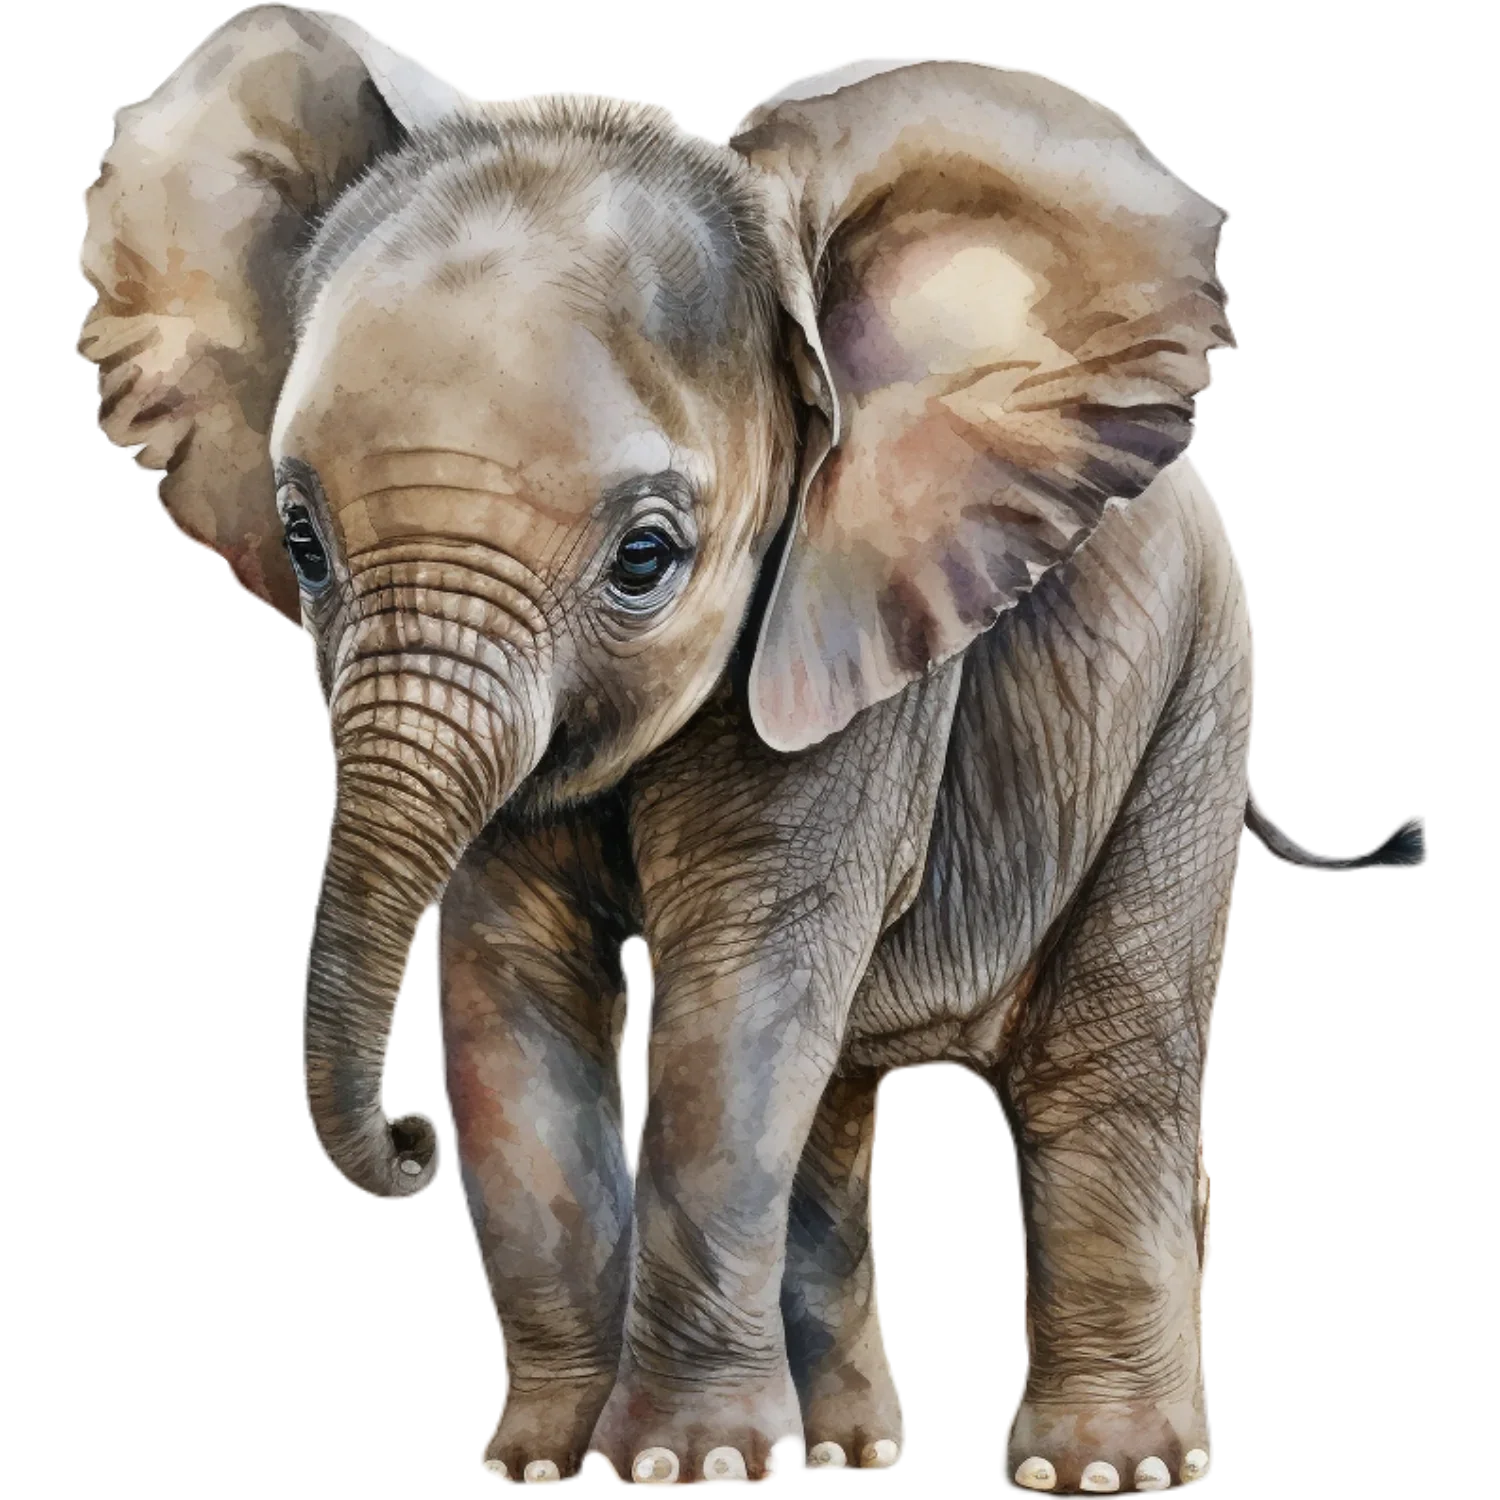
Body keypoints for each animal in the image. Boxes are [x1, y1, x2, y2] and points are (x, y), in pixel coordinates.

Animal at [75, 12, 1431, 1494]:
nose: (408, 1141)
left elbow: (741, 984)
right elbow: (508, 986)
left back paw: (1100, 1473)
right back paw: (845, 1453)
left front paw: (687, 1468)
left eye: (646, 558)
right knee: (834, 1100)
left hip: (1195, 697)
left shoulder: (856, 649)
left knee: (1104, 1065)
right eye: (302, 543)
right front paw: (546, 1462)